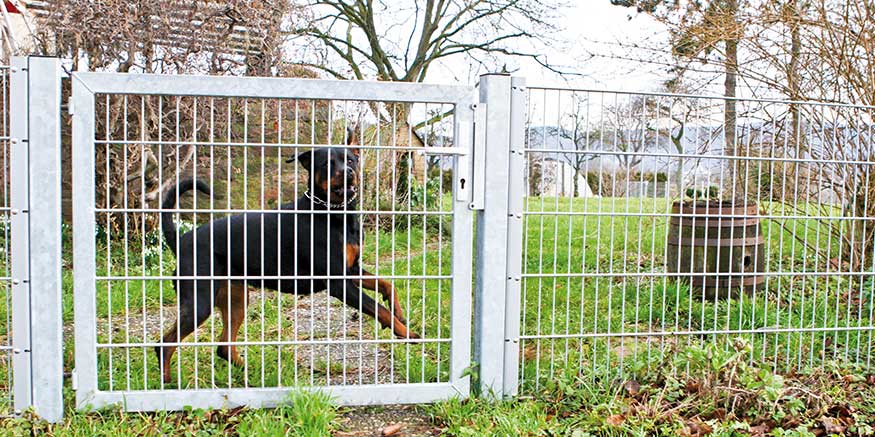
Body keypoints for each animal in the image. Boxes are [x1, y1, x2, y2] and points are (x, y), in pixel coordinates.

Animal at [157, 141, 418, 382]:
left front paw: (399, 312)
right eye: (327, 164)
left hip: (236, 298)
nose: (348, 172)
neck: (331, 213)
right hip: (200, 300)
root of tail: (181, 241)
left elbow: (387, 284)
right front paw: (406, 333)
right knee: (164, 344)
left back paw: (251, 375)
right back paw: (168, 383)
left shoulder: (351, 270)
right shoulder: (339, 283)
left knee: (223, 347)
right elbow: (379, 309)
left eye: (350, 160)